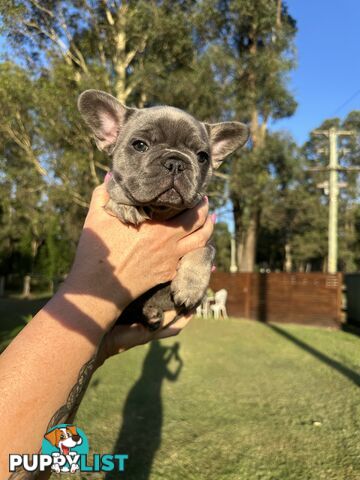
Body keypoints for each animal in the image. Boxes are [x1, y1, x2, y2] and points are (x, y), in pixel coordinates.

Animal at [77, 90, 249, 330]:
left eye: (202, 156)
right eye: (140, 145)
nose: (176, 162)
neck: (161, 210)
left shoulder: (206, 236)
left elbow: (204, 252)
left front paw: (190, 287)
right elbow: (116, 191)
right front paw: (124, 205)